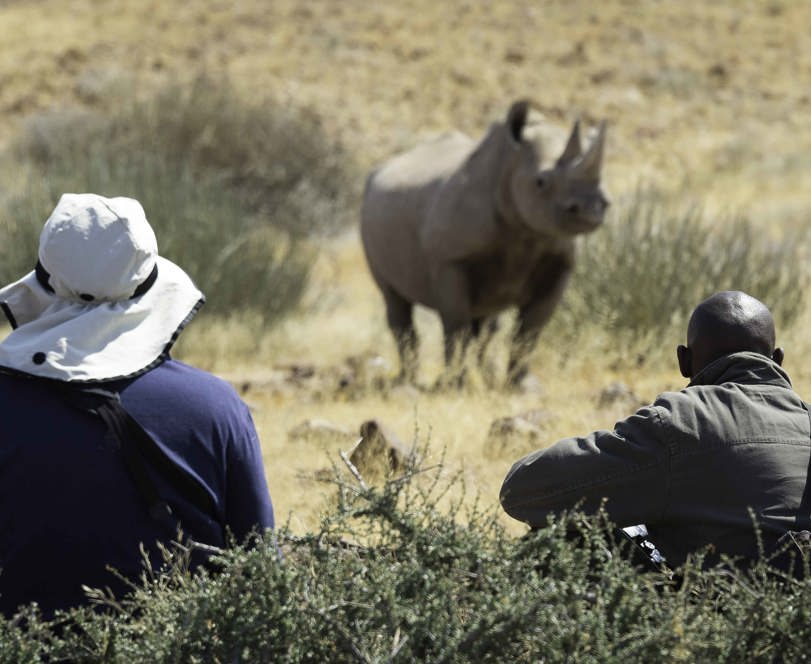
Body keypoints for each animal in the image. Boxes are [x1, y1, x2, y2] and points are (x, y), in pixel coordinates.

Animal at [360, 100, 608, 386]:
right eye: (540, 182)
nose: (591, 209)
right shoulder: (450, 260)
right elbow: (456, 323)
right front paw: (454, 384)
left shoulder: (559, 262)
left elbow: (531, 329)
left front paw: (521, 385)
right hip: (367, 210)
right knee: (396, 301)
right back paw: (408, 381)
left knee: (486, 322)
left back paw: (481, 376)